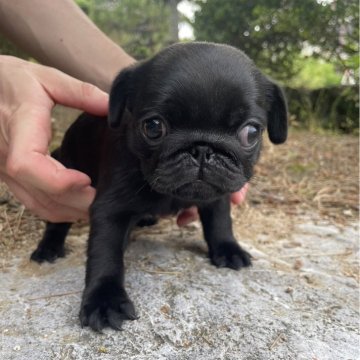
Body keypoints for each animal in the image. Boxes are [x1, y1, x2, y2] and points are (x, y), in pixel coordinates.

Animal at [30, 42, 286, 332]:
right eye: (153, 127)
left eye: (251, 132)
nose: (202, 149)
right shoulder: (109, 209)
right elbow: (105, 253)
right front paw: (104, 300)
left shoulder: (217, 195)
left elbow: (220, 222)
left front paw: (228, 249)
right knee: (57, 220)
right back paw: (49, 248)